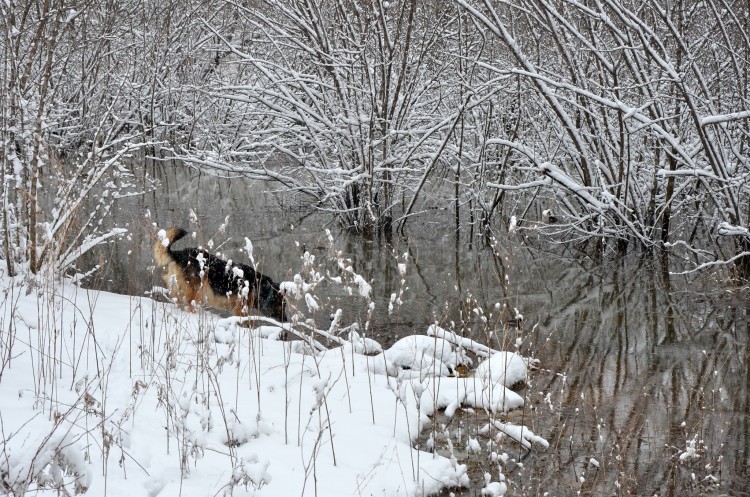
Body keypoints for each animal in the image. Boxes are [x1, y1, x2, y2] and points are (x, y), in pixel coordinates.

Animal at [154, 226, 286, 322]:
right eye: (283, 304)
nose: (286, 320)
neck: (260, 286)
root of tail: (179, 253)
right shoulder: (240, 309)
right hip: (197, 291)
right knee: (190, 306)